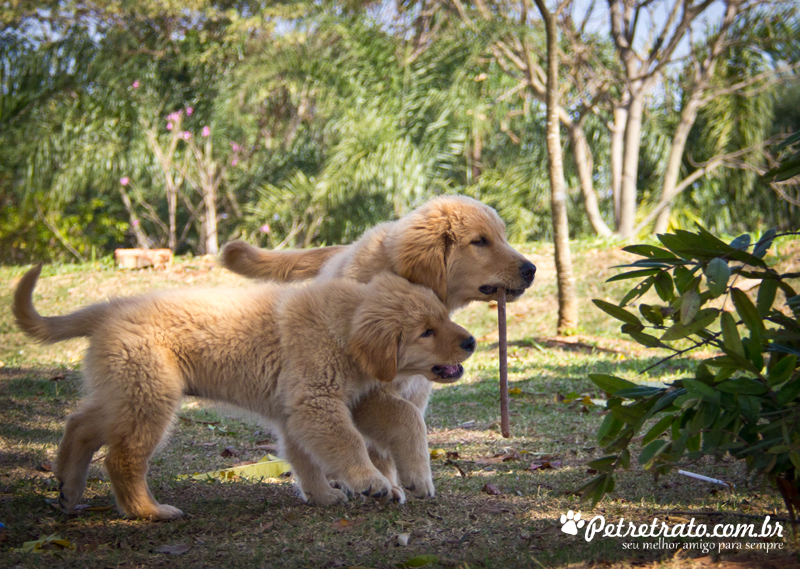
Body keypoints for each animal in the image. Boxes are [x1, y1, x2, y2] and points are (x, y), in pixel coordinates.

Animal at [14, 266, 476, 520]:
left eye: (442, 318)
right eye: (426, 332)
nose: (471, 341)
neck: (341, 325)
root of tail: (111, 308)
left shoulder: (340, 401)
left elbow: (402, 419)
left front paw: (337, 493)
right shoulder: (317, 402)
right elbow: (347, 443)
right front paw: (370, 481)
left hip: (125, 391)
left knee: (79, 424)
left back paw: (68, 490)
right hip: (150, 395)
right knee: (121, 456)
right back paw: (147, 511)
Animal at [219, 195, 536, 496]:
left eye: (502, 236)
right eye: (479, 241)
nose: (531, 269)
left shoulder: (409, 392)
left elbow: (396, 434)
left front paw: (397, 480)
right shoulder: (366, 391)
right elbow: (405, 421)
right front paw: (404, 480)